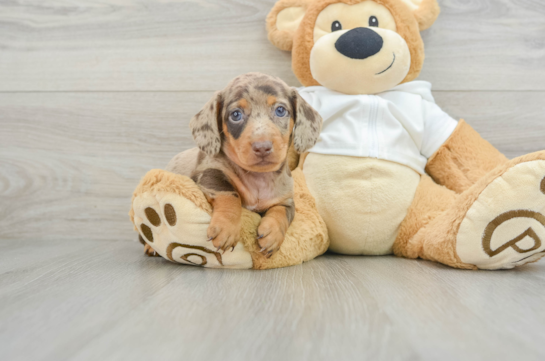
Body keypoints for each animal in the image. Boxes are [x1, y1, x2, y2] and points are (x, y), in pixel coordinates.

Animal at [185, 72, 320, 256]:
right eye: (236, 115)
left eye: (280, 110)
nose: (262, 147)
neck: (259, 179)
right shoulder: (209, 172)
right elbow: (230, 194)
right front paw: (226, 227)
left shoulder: (287, 200)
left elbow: (282, 212)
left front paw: (274, 233)